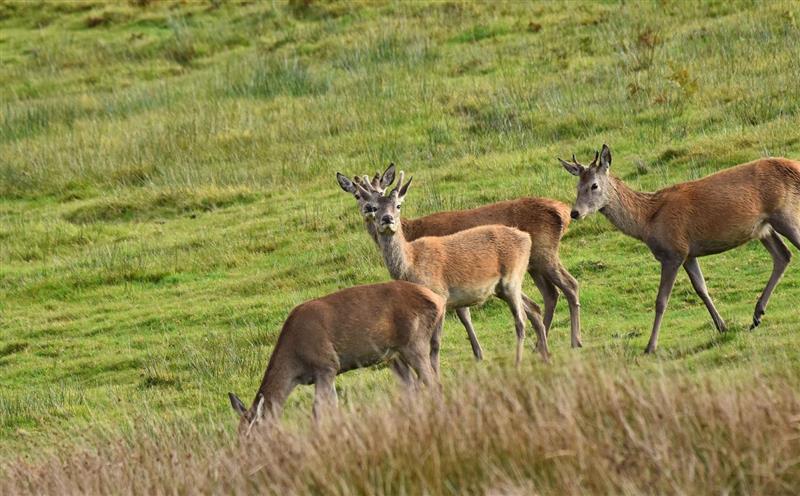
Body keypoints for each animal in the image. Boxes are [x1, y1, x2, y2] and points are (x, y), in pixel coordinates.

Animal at [228, 280, 446, 436]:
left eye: (250, 436)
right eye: (237, 433)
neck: (296, 363)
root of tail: (440, 301)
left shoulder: (326, 365)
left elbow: (318, 409)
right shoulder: (327, 371)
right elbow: (333, 405)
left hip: (415, 341)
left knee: (433, 382)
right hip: (396, 354)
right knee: (414, 386)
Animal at [334, 164, 580, 360]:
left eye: (382, 191)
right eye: (358, 196)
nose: (373, 212)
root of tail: (563, 211)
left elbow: (462, 316)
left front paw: (478, 353)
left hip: (544, 253)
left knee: (569, 285)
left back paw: (574, 340)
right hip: (532, 266)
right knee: (548, 295)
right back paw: (541, 347)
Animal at [560, 143, 800, 352]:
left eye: (594, 185)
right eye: (577, 186)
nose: (575, 213)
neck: (648, 221)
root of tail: (795, 165)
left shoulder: (672, 252)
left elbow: (661, 301)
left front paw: (650, 346)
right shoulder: (688, 253)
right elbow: (701, 289)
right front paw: (722, 327)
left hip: (785, 213)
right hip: (764, 227)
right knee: (783, 255)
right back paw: (757, 315)